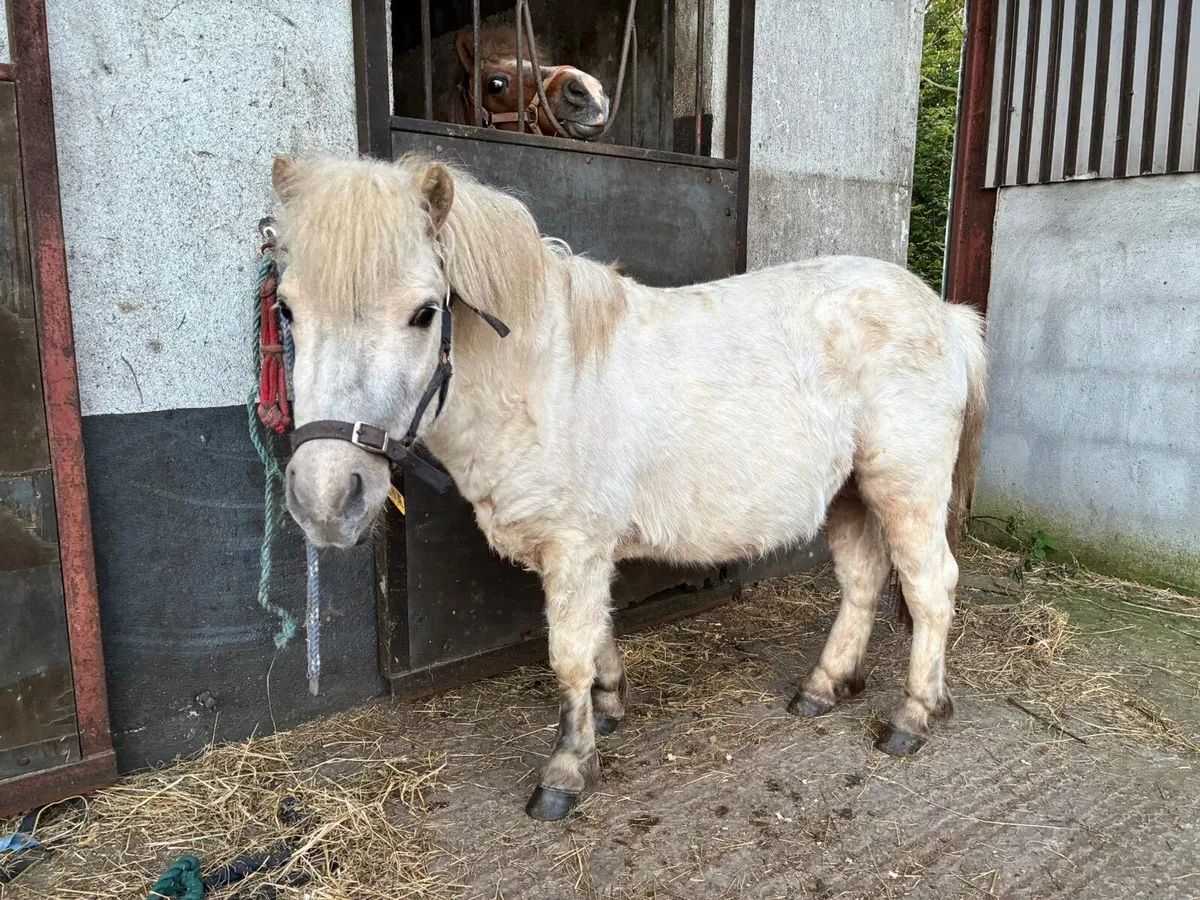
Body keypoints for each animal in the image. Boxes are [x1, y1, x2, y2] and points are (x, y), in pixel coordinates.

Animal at [272, 153, 988, 822]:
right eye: (286, 309)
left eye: (424, 313)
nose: (325, 498)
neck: (544, 376)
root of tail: (945, 314)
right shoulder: (581, 550)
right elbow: (596, 633)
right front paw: (610, 704)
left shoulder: (574, 546)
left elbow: (567, 655)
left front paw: (567, 769)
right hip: (849, 492)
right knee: (863, 580)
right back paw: (824, 685)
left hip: (905, 490)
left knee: (930, 589)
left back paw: (913, 715)